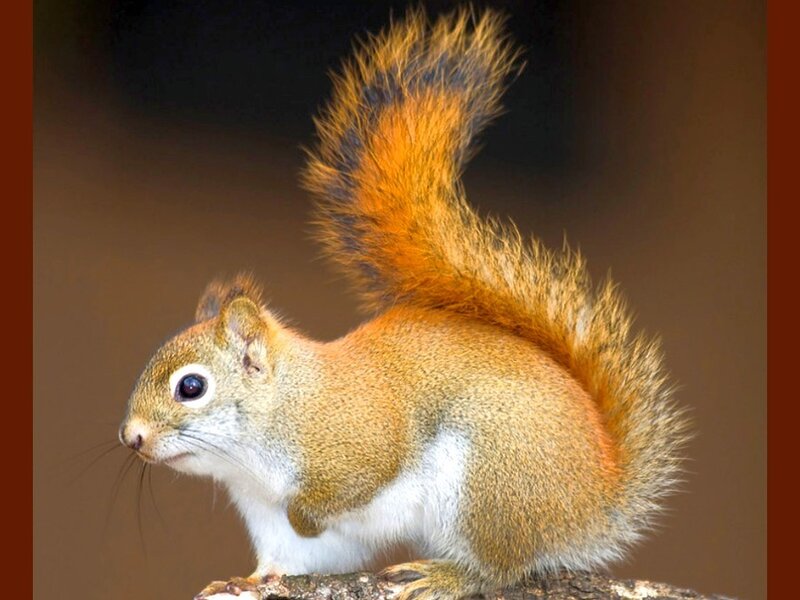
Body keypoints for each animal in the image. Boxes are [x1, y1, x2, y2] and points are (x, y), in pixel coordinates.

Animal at [119, 8, 690, 600]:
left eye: (191, 387)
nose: (131, 438)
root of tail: (597, 502)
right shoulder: (268, 515)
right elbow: (291, 556)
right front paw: (250, 577)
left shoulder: (357, 440)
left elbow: (347, 486)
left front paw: (308, 513)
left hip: (490, 482)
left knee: (500, 568)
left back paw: (446, 573)